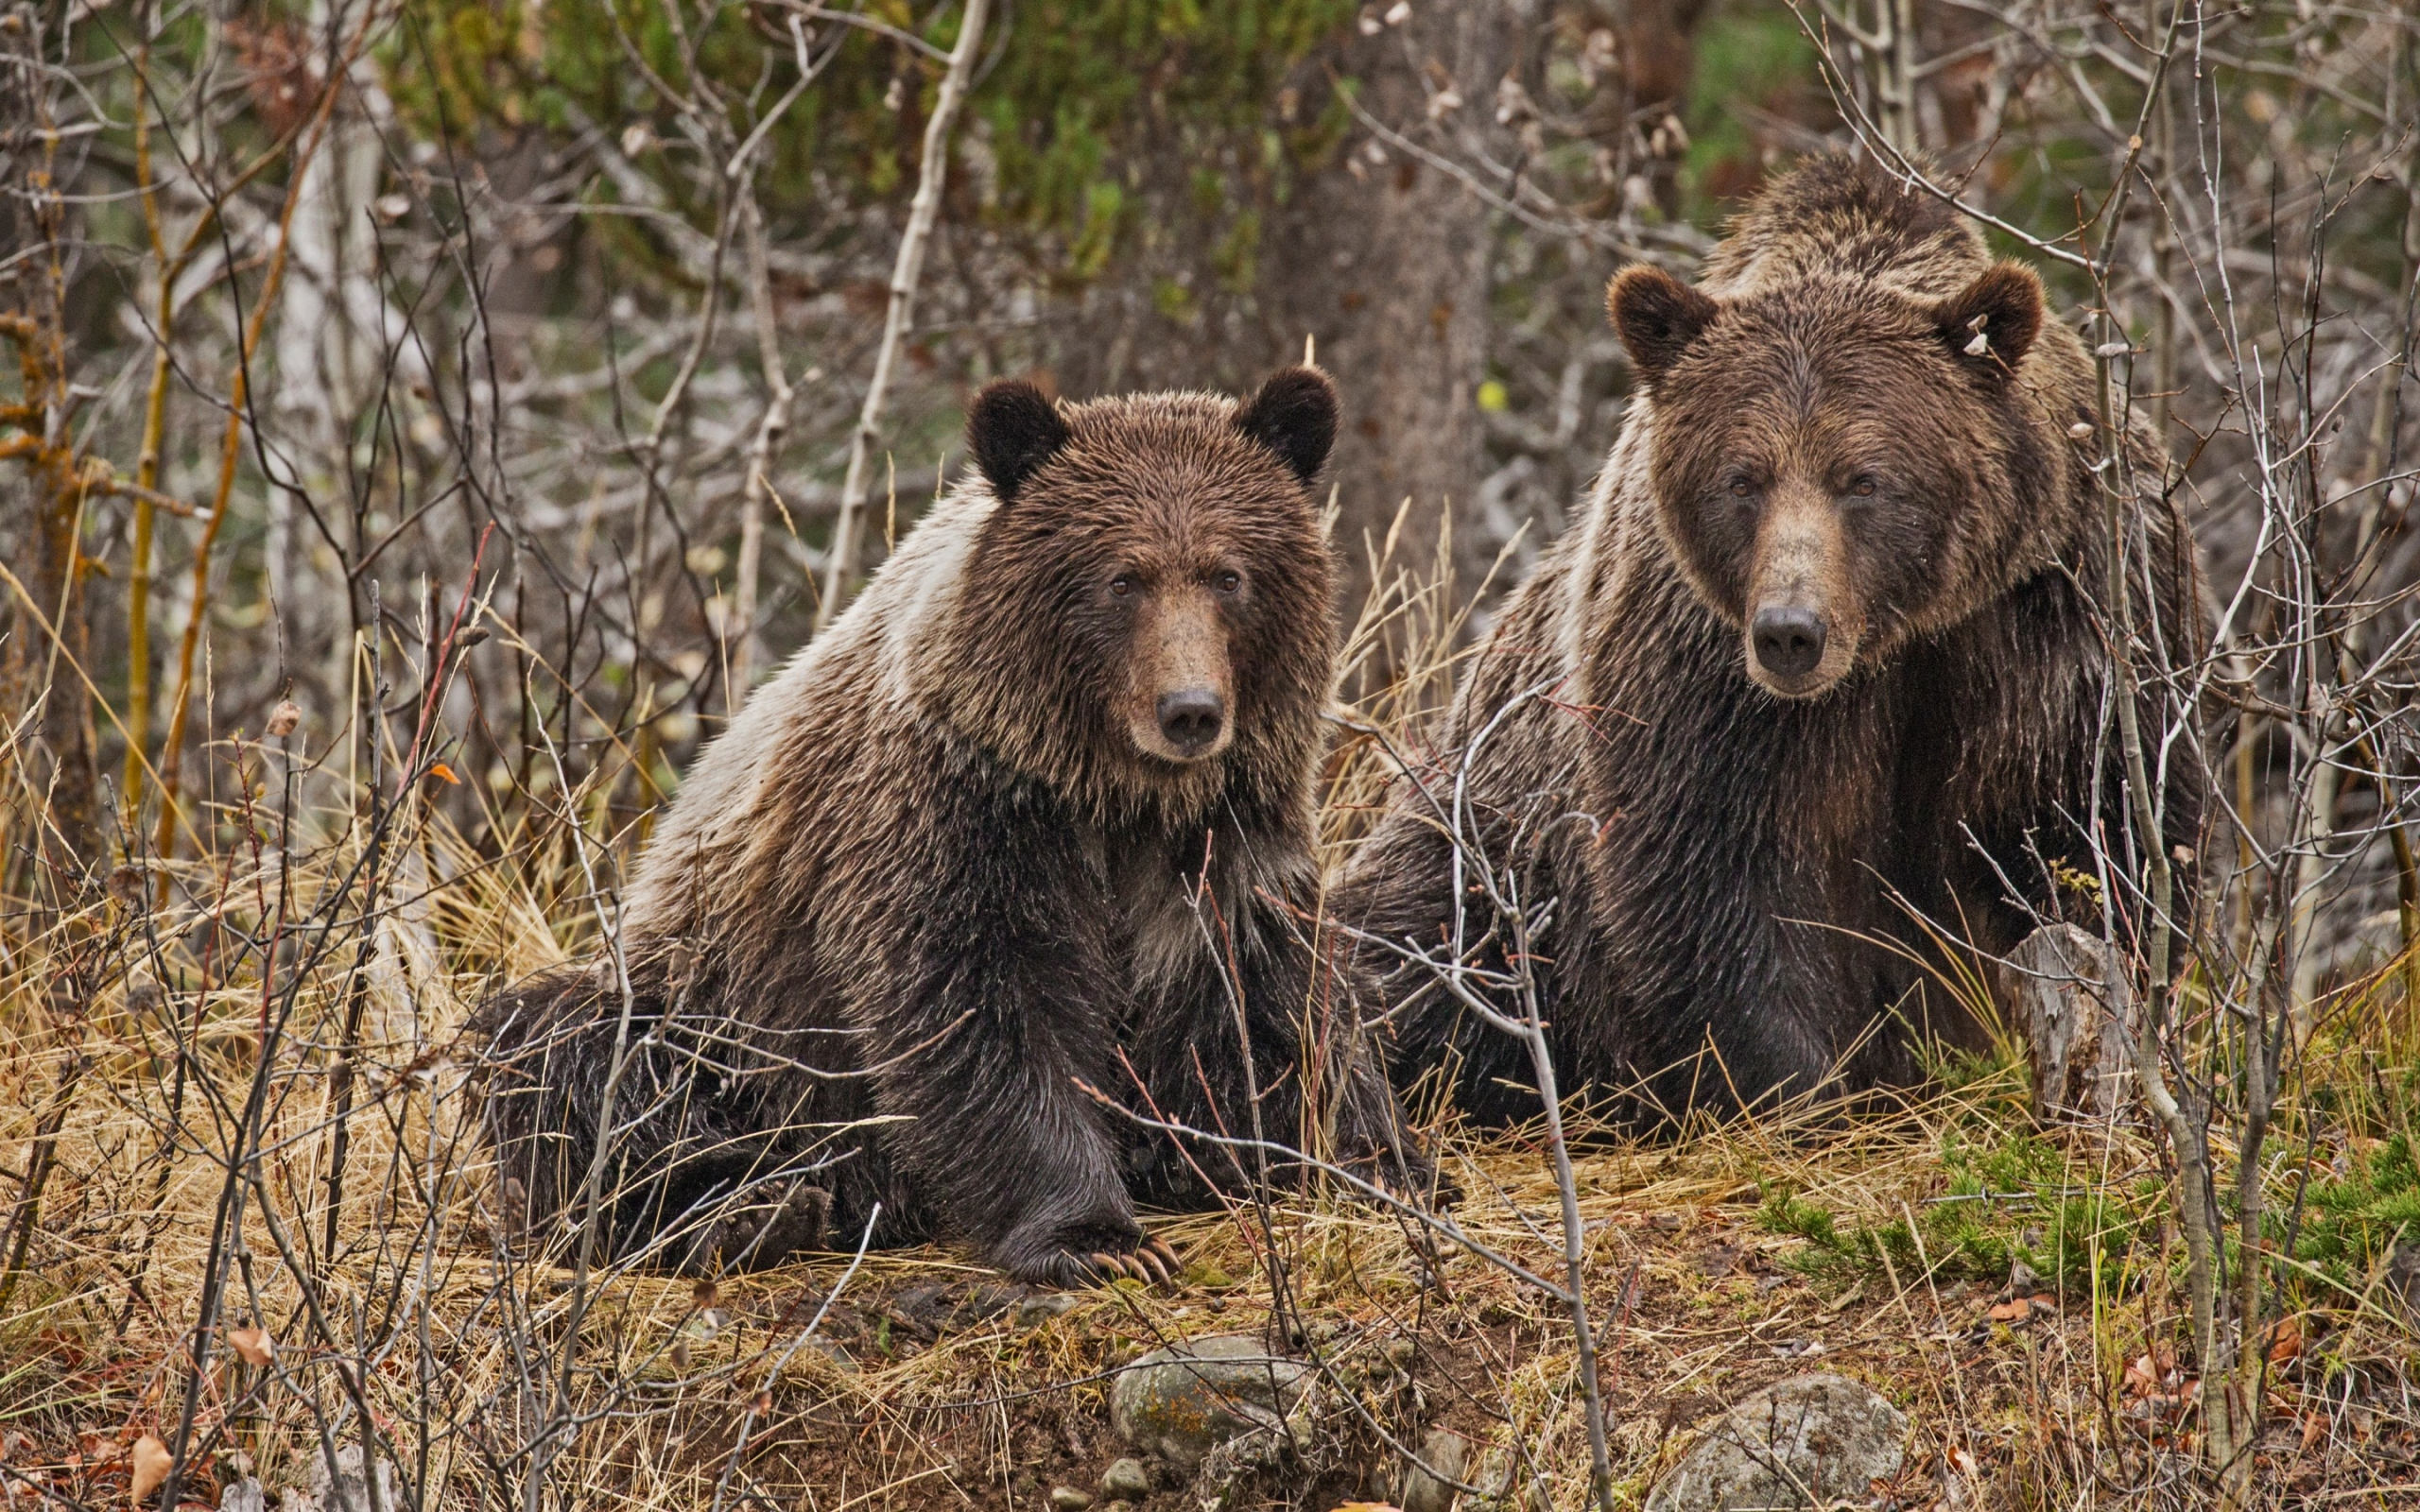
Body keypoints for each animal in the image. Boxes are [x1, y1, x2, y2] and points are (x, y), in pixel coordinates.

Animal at [474, 372, 1423, 1277]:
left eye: (1229, 575)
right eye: (1123, 578)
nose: (1190, 710)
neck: (1111, 793)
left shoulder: (1225, 835)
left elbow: (1269, 997)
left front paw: (1372, 1157)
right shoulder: (956, 812)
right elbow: (979, 1005)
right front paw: (1098, 1236)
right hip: (717, 1021)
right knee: (567, 1054)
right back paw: (737, 1214)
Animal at [1345, 159, 2216, 1122]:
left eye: (1864, 479)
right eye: (1742, 478)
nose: (1790, 633)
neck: (1898, 636)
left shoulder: (2066, 612)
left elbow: (2094, 830)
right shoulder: (1700, 666)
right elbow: (1720, 876)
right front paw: (1806, 1090)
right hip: (1487, 847)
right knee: (1407, 954)